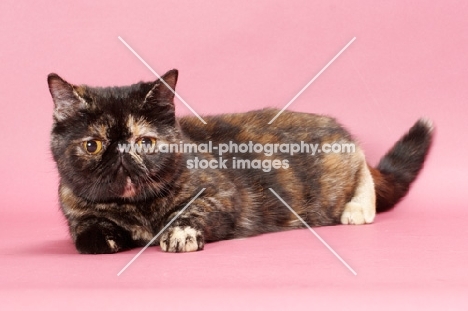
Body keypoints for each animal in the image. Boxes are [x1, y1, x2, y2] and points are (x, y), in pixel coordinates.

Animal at [46, 69, 432, 255]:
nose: (123, 155)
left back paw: (357, 210)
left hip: (343, 161)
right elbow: (87, 232)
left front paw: (180, 232)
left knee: (365, 168)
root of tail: (334, 124)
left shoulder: (223, 195)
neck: (134, 207)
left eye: (145, 142)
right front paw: (106, 238)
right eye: (93, 145)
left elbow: (191, 211)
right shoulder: (75, 208)